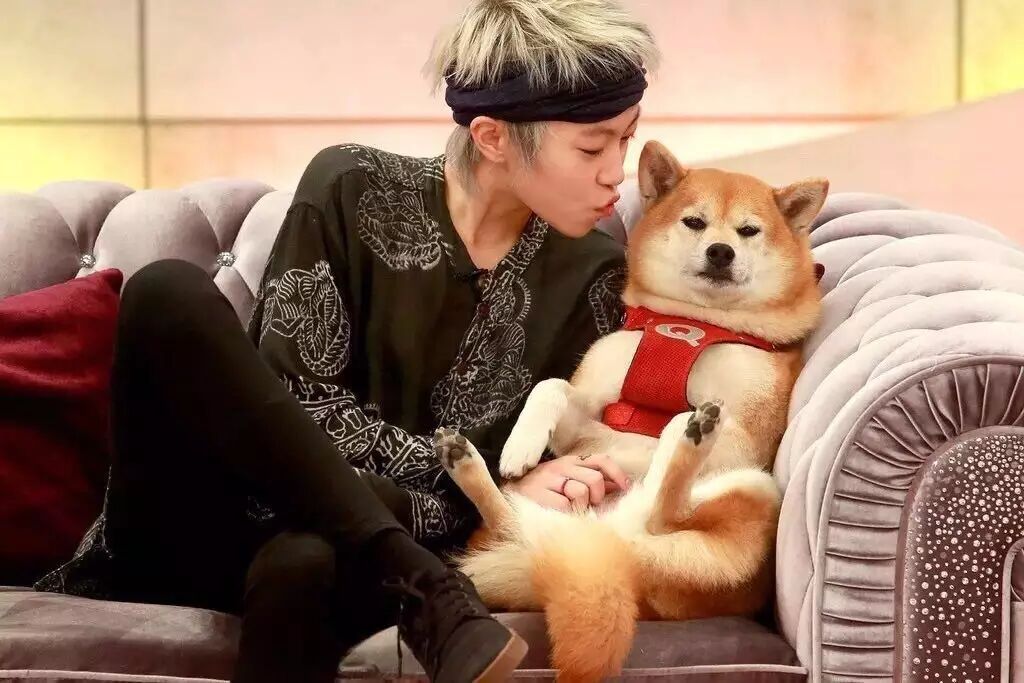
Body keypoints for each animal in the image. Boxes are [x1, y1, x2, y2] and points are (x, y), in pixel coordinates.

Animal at [434, 140, 827, 682]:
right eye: (695, 222)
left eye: (749, 231)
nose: (721, 252)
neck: (694, 324)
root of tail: (616, 552)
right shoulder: (588, 413)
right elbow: (550, 388)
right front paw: (521, 446)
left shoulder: (749, 437)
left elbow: (674, 426)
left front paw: (679, 425)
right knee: (518, 518)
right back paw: (467, 462)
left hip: (752, 485)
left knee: (668, 510)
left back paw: (692, 435)